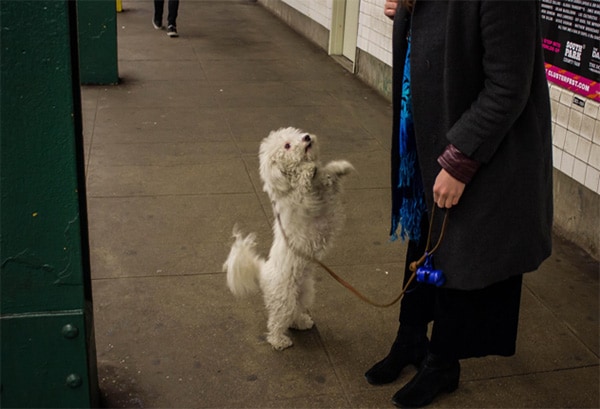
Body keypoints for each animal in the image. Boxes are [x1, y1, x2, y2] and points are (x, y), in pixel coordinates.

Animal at [225, 126, 356, 350]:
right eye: (287, 146)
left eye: (297, 134)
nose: (307, 137)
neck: (287, 185)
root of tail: (263, 273)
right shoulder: (308, 203)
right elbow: (306, 184)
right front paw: (308, 172)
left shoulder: (326, 194)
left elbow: (328, 176)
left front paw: (340, 167)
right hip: (283, 298)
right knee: (277, 322)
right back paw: (279, 341)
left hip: (304, 293)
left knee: (295, 312)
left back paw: (302, 322)